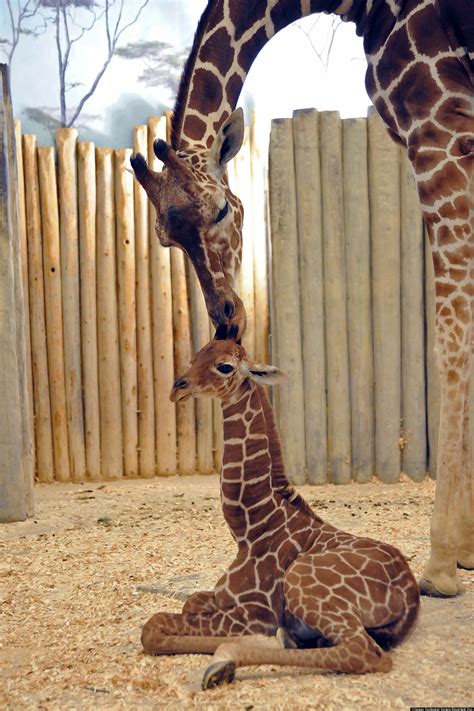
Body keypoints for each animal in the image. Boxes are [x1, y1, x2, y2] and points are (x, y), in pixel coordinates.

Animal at [130, 1, 474, 600]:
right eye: (164, 238)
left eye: (223, 209)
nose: (228, 317)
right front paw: (467, 550)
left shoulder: (441, 125)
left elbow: (455, 331)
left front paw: (442, 563)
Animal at [140, 334, 418, 688]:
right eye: (195, 356)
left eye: (225, 366)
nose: (178, 388)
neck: (251, 528)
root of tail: (410, 600)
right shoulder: (220, 598)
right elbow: (187, 602)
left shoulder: (253, 613)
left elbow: (152, 627)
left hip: (303, 582)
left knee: (364, 652)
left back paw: (227, 661)